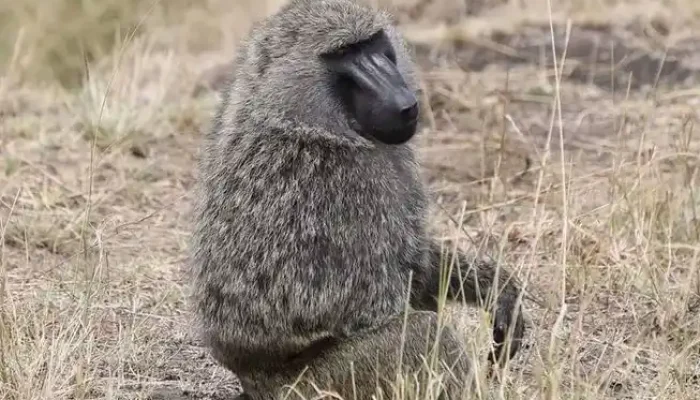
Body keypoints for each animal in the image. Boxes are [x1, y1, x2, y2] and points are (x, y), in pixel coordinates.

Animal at [189, 0, 526, 399]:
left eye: (372, 43)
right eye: (344, 54)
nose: (405, 104)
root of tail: (255, 383)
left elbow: (418, 264)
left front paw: (499, 290)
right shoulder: (343, 181)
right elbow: (362, 304)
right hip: (315, 385)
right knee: (423, 334)